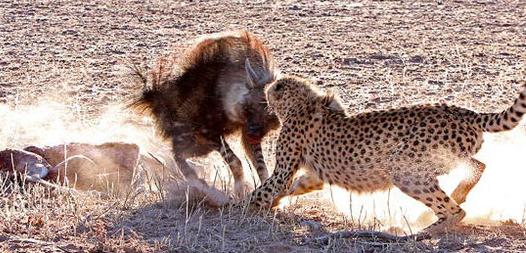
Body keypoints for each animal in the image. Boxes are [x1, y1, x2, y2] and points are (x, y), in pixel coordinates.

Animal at [243, 75, 526, 235]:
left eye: (277, 87)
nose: (267, 88)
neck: (303, 104)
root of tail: (463, 111)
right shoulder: (315, 173)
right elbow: (296, 185)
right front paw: (277, 201)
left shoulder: (284, 168)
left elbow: (265, 189)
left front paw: (241, 207)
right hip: (444, 158)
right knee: (479, 165)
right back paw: (454, 198)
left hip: (405, 170)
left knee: (455, 210)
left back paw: (422, 231)